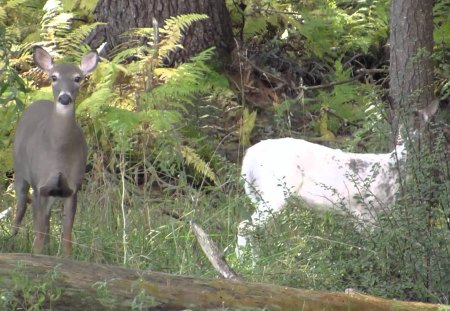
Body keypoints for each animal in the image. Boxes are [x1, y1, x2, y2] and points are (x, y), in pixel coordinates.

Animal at [11, 45, 98, 256]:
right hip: (21, 174)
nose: (64, 97)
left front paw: (65, 258)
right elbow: (38, 232)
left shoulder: (72, 188)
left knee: (48, 219)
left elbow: (66, 234)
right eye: (54, 77)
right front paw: (37, 256)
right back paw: (10, 241)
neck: (59, 151)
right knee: (20, 208)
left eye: (78, 78)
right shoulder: (39, 185)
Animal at [239, 101, 440, 260]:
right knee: (244, 225)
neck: (394, 167)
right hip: (276, 191)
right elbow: (375, 244)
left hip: (259, 192)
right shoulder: (365, 210)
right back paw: (247, 264)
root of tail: (249, 156)